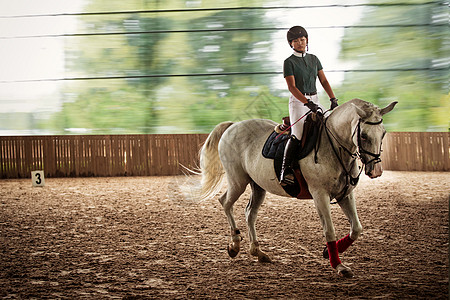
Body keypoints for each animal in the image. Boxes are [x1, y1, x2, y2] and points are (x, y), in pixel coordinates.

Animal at [199, 98, 396, 276]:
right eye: (363, 136)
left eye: (383, 133)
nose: (376, 171)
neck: (334, 147)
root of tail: (233, 126)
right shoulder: (320, 194)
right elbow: (329, 231)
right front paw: (339, 266)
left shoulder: (345, 194)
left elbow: (356, 228)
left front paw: (328, 253)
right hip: (237, 181)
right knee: (225, 202)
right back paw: (234, 245)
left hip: (258, 186)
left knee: (250, 213)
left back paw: (258, 252)